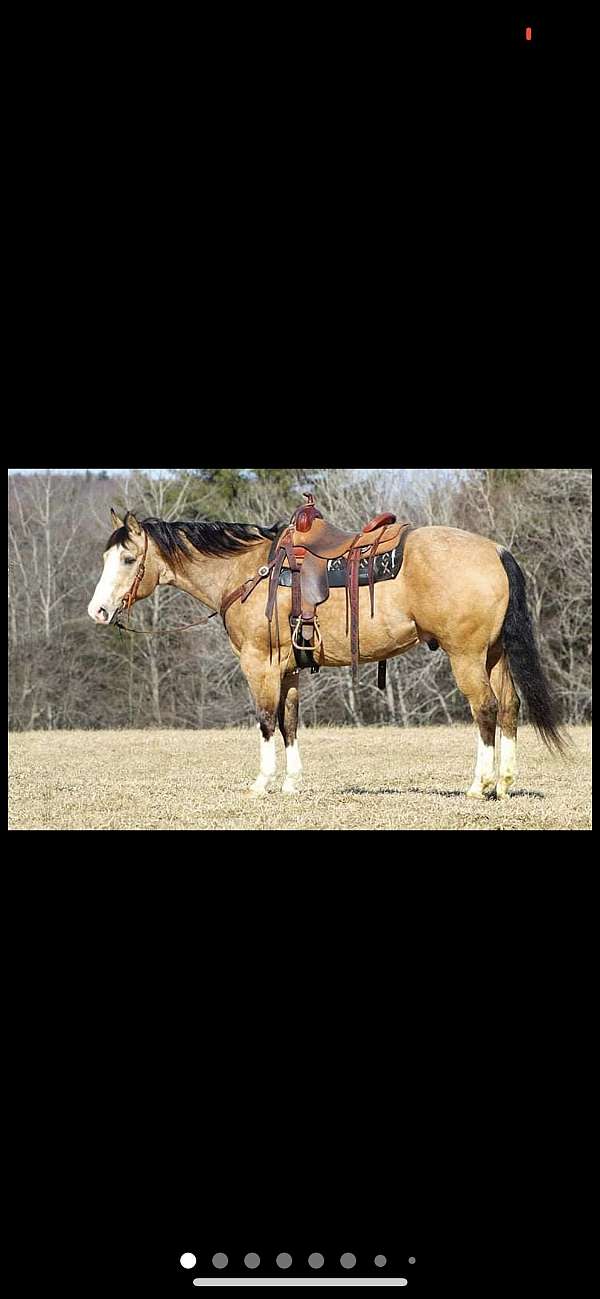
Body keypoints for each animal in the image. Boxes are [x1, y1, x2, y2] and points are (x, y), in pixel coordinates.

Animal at [88, 506, 566, 799]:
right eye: (106, 557)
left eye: (128, 559)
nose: (98, 611)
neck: (249, 571)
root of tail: (495, 551)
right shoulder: (289, 669)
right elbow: (290, 723)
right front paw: (291, 784)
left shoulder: (259, 663)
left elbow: (266, 720)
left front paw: (262, 783)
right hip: (494, 654)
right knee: (509, 707)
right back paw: (503, 784)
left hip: (465, 656)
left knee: (485, 709)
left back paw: (478, 785)